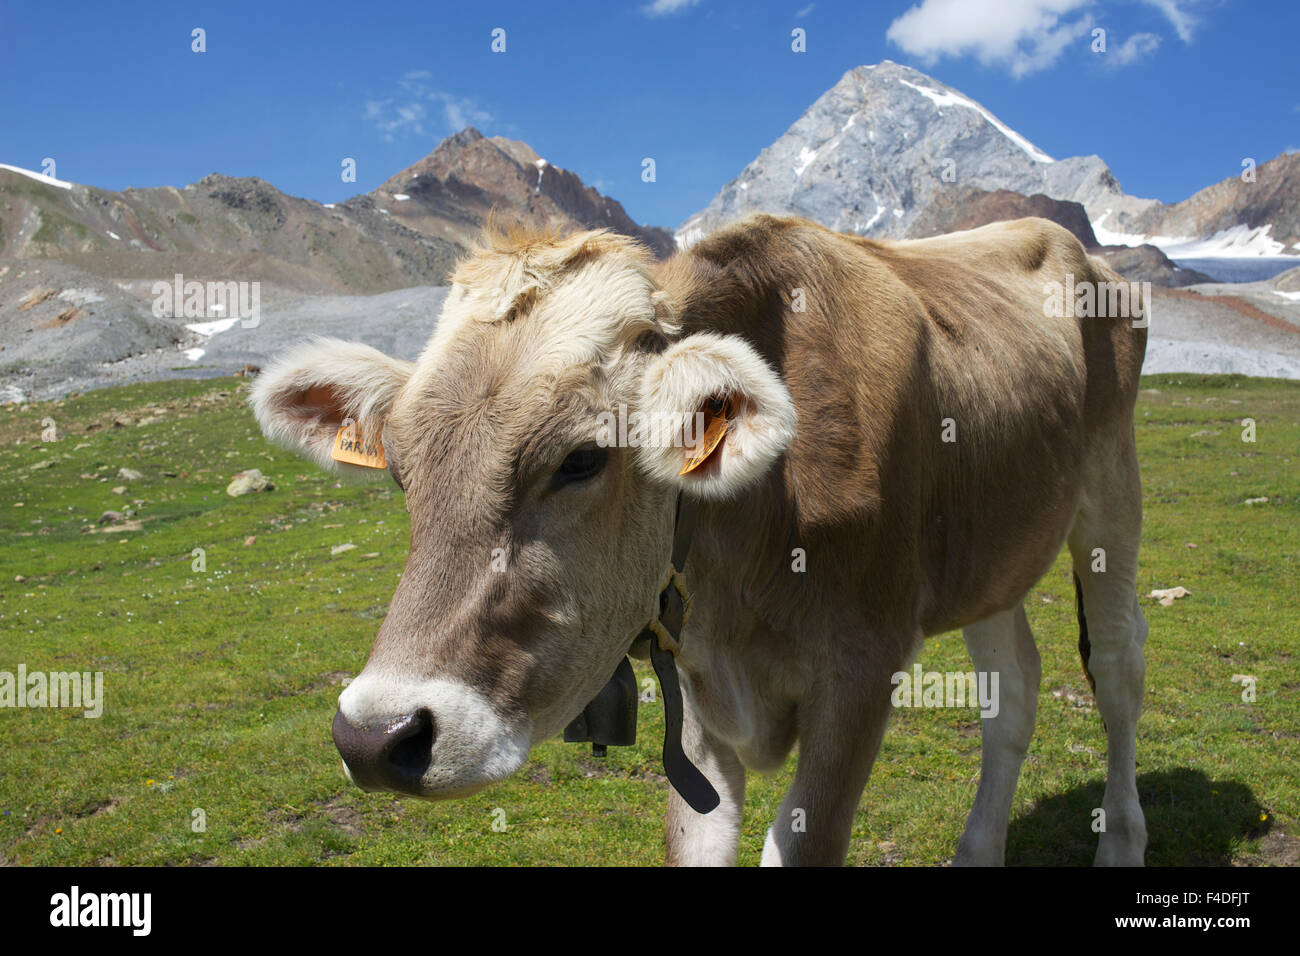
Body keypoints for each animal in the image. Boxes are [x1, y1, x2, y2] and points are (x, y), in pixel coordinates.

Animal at [250, 213, 1149, 866]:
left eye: (581, 459)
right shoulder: (693, 692)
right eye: (401, 472)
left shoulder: (861, 668)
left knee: (1115, 666)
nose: (375, 737)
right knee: (1015, 685)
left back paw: (1121, 844)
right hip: (991, 554)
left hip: (1111, 495)